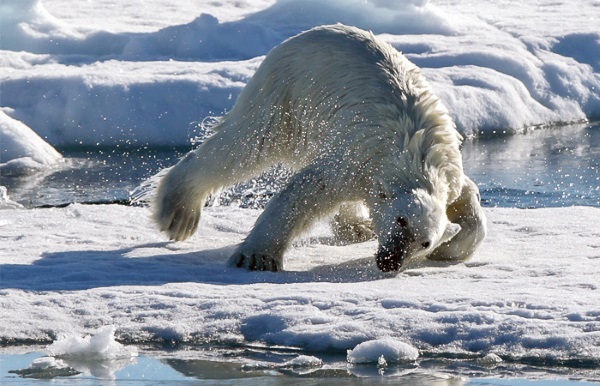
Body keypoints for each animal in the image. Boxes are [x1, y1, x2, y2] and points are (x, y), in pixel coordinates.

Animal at [152, 24, 486, 272]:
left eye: (424, 241)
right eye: (400, 221)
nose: (390, 260)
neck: (417, 161)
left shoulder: (451, 176)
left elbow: (470, 206)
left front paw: (452, 246)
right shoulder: (358, 162)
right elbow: (308, 190)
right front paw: (257, 258)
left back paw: (357, 227)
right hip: (285, 95)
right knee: (245, 147)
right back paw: (179, 215)